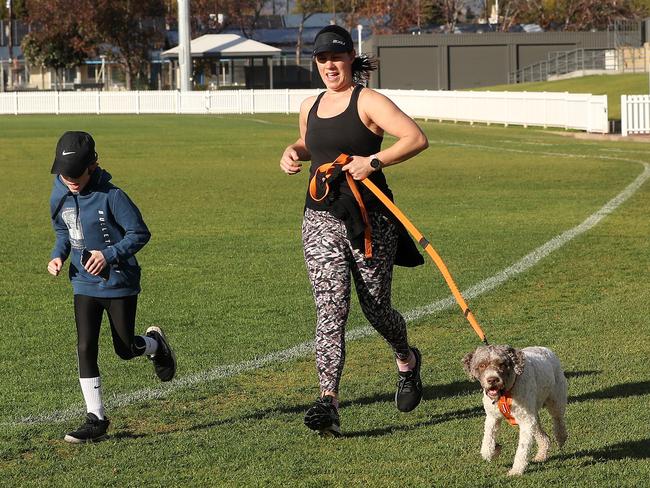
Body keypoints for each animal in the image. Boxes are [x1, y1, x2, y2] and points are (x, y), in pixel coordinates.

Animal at [460, 346, 568, 474]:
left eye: (502, 364)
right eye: (482, 365)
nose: (492, 380)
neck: (505, 394)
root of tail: (545, 349)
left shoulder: (526, 421)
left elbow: (522, 448)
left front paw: (516, 470)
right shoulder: (492, 417)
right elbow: (486, 444)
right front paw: (495, 449)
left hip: (555, 399)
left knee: (558, 419)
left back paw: (561, 438)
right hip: (533, 414)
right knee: (543, 436)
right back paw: (541, 455)